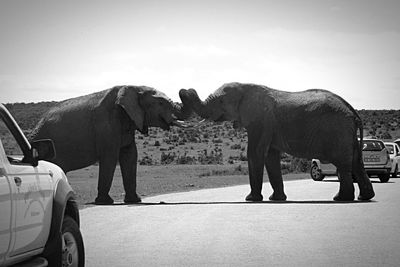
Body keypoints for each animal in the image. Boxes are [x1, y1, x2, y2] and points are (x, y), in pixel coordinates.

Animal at [30, 86, 192, 205]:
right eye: (161, 103)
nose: (185, 90)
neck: (134, 87)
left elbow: (130, 155)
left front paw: (135, 200)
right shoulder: (106, 126)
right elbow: (110, 157)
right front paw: (105, 202)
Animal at [180, 82, 376, 202]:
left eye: (221, 101)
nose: (185, 90)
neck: (246, 86)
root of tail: (353, 112)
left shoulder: (260, 120)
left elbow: (255, 153)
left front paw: (251, 199)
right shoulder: (267, 126)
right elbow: (271, 157)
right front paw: (276, 199)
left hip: (338, 131)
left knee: (343, 164)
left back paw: (340, 199)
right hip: (346, 134)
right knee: (356, 162)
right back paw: (363, 198)